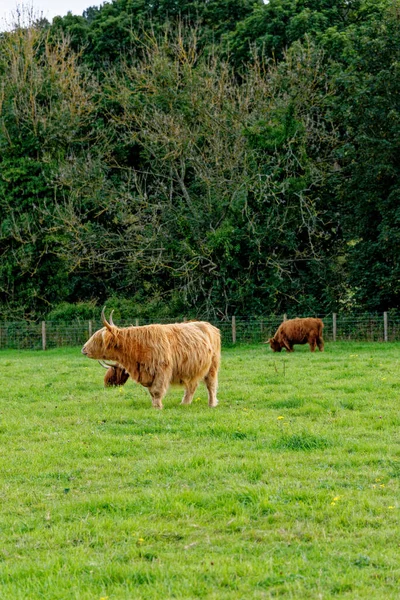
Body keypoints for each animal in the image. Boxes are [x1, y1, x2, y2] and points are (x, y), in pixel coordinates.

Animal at [80, 310, 222, 408]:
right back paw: (185, 403)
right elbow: (151, 392)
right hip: (192, 369)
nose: (83, 349)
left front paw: (157, 407)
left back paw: (212, 404)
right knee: (192, 386)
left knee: (211, 385)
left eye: (97, 338)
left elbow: (157, 390)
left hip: (212, 367)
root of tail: (209, 325)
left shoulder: (161, 370)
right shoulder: (147, 373)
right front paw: (154, 404)